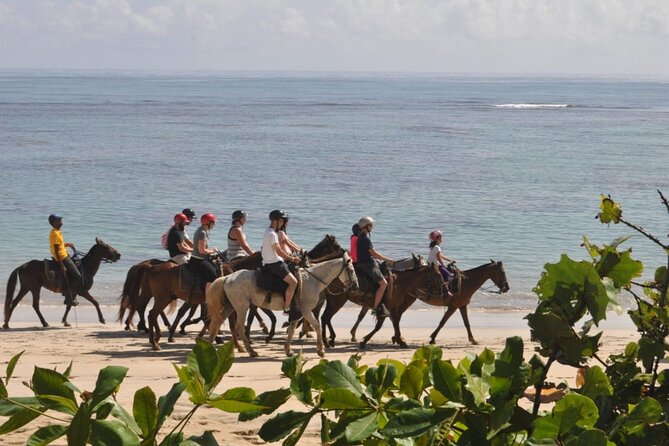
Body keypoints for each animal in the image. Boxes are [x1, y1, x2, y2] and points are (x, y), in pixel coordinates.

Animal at [207, 253, 358, 358]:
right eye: (351, 270)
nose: (356, 286)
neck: (312, 280)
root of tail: (227, 277)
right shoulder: (306, 310)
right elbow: (317, 326)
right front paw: (320, 351)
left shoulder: (298, 312)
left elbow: (291, 329)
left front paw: (288, 350)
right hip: (241, 307)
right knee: (238, 327)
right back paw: (251, 351)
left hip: (230, 306)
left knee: (217, 322)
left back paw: (209, 346)